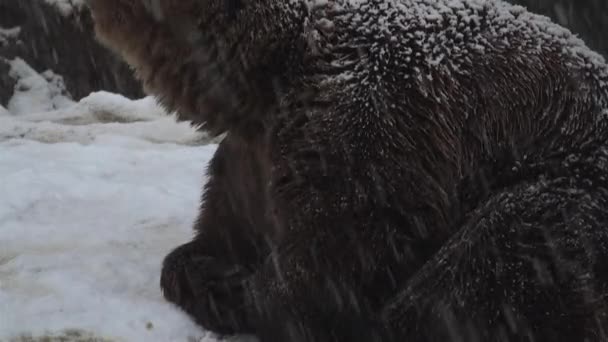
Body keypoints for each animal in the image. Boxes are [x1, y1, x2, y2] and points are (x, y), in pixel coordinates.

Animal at [85, 0, 608, 340]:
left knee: (484, 263)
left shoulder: (365, 125)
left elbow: (329, 269)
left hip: (566, 188)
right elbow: (219, 232)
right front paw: (202, 265)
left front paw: (235, 289)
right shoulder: (250, 159)